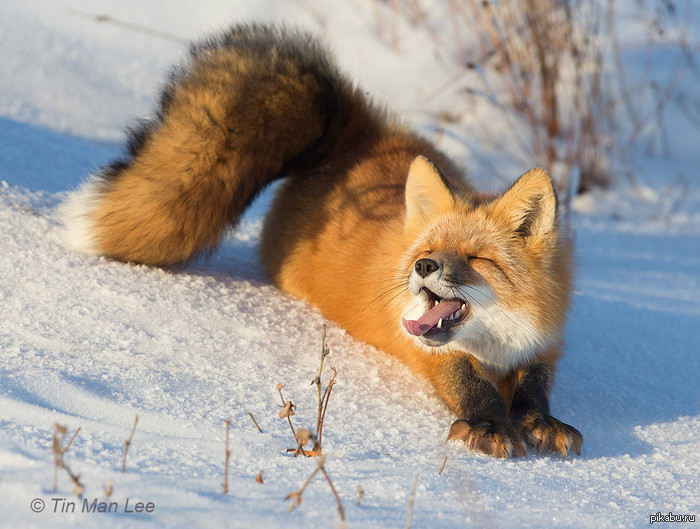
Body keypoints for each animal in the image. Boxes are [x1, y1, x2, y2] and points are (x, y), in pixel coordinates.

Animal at [63, 22, 584, 456]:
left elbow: (534, 387)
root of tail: (361, 135)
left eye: (477, 257)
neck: (496, 344)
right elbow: (467, 383)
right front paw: (490, 424)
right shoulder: (421, 346)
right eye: (425, 253)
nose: (423, 268)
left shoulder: (545, 344)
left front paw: (538, 421)